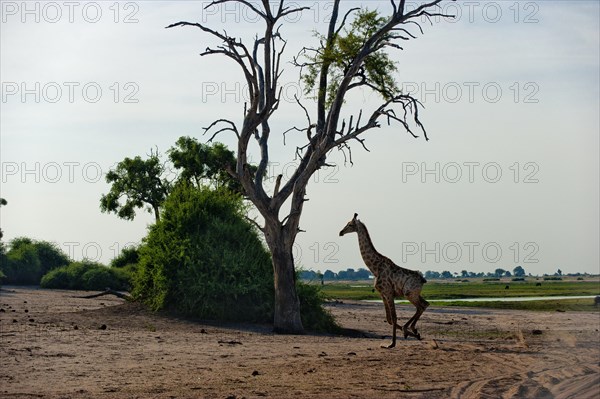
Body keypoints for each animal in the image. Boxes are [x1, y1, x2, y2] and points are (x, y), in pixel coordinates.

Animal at [340, 214, 428, 348]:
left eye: (350, 224)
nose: (340, 232)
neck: (375, 268)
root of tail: (423, 280)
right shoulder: (382, 294)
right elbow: (389, 319)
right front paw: (408, 334)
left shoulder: (388, 292)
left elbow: (394, 317)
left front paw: (392, 343)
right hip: (415, 293)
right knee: (425, 304)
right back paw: (413, 331)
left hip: (409, 293)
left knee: (420, 306)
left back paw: (410, 329)